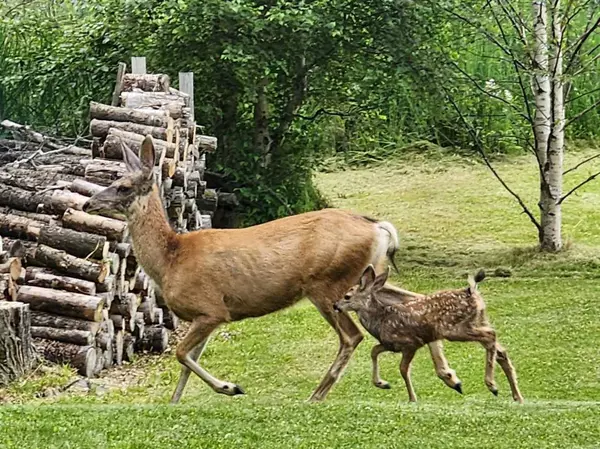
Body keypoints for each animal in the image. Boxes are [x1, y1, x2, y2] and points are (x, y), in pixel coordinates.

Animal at [82, 134, 460, 402]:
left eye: (123, 186)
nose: (89, 203)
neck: (171, 258)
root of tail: (379, 227)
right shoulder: (211, 316)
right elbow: (187, 361)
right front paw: (176, 402)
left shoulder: (210, 309)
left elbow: (180, 353)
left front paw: (230, 387)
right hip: (365, 277)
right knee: (413, 296)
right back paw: (450, 376)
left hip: (329, 284)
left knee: (351, 336)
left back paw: (317, 394)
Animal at [336, 266, 524, 402]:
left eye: (347, 296)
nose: (335, 305)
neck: (380, 320)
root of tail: (471, 290)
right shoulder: (390, 344)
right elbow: (374, 351)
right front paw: (382, 383)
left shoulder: (410, 343)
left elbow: (403, 369)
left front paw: (412, 398)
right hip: (478, 321)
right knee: (500, 350)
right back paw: (516, 396)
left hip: (454, 329)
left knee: (490, 336)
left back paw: (492, 385)